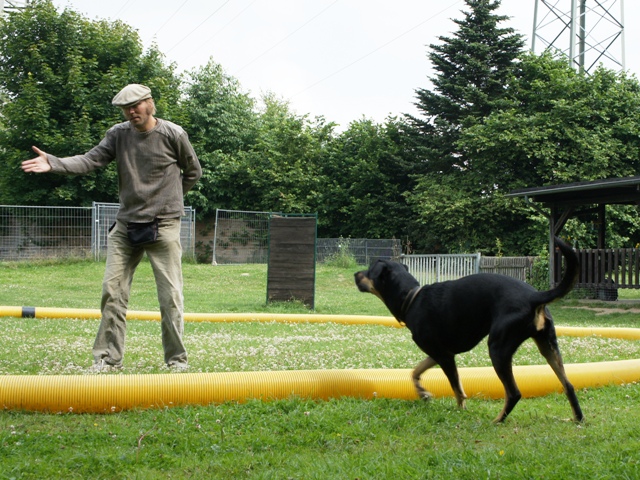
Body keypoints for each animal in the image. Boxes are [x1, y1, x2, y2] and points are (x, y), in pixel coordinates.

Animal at [356, 238, 584, 422]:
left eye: (369, 271)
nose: (355, 274)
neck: (412, 298)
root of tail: (534, 296)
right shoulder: (441, 352)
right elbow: (416, 371)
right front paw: (423, 393)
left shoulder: (444, 356)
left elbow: (456, 387)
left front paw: (460, 409)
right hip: (548, 346)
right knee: (568, 385)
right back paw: (578, 418)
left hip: (498, 348)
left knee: (514, 393)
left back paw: (497, 420)